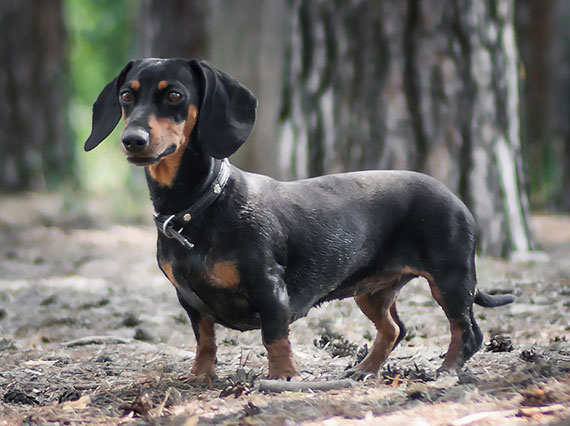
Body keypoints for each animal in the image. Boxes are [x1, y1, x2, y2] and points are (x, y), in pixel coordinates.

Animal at [85, 57, 516, 380]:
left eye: (175, 95)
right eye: (126, 95)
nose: (133, 140)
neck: (200, 204)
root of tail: (454, 196)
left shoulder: (269, 286)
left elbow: (274, 336)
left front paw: (283, 377)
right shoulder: (189, 300)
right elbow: (205, 341)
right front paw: (201, 377)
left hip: (450, 279)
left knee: (468, 331)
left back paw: (447, 370)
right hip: (371, 291)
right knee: (394, 329)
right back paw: (364, 370)